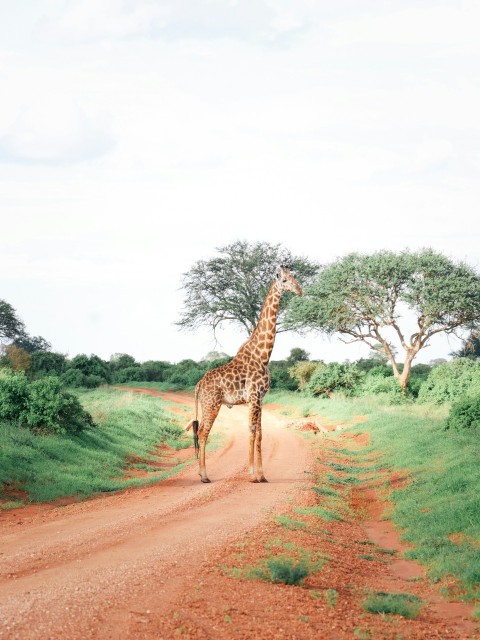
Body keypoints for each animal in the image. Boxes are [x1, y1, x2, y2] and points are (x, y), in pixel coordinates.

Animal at [186, 262, 302, 482]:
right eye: (284, 280)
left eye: (295, 277)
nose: (300, 290)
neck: (263, 355)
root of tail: (198, 385)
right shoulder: (254, 396)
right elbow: (252, 430)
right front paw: (251, 475)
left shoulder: (261, 398)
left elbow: (261, 434)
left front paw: (263, 476)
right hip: (212, 404)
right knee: (204, 432)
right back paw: (204, 476)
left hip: (207, 404)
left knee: (200, 431)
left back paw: (201, 472)